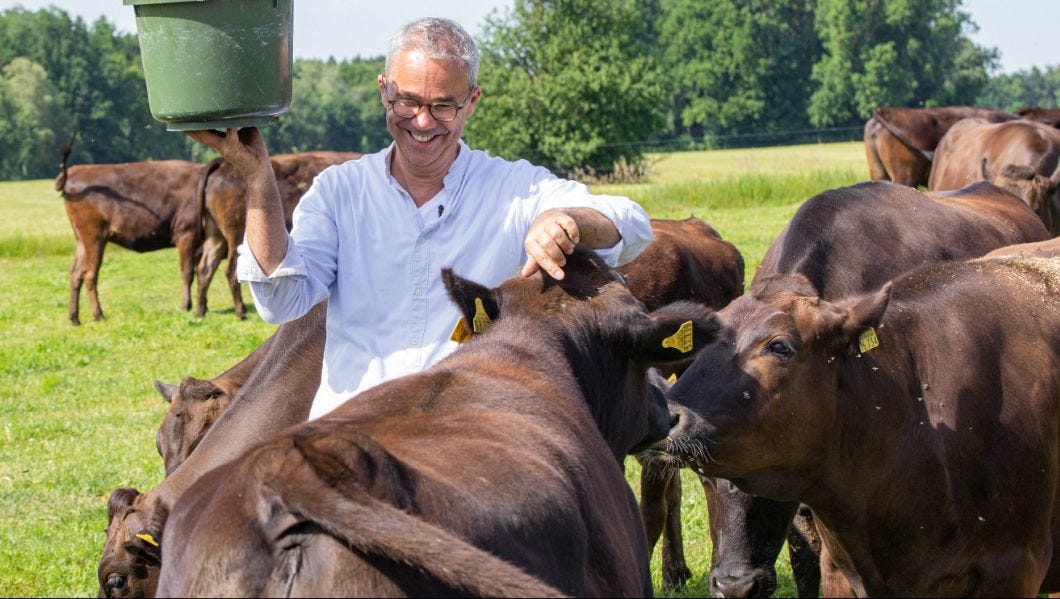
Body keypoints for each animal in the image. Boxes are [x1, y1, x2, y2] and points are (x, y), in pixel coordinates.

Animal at [55, 136, 206, 326]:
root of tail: (75, 170)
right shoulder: (186, 236)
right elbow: (188, 272)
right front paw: (186, 306)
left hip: (81, 241)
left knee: (76, 274)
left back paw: (75, 318)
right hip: (95, 239)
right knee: (89, 274)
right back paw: (98, 315)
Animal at [196, 150, 364, 318]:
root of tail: (222, 164)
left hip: (216, 237)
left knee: (206, 268)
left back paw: (200, 312)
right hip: (235, 236)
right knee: (231, 270)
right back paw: (241, 311)